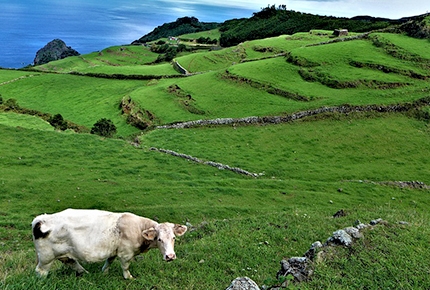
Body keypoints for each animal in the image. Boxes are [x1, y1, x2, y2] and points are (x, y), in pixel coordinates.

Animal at [31, 208, 186, 278]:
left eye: (173, 237)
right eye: (159, 239)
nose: (170, 256)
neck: (138, 227)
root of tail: (41, 219)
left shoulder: (114, 251)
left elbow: (109, 261)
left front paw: (104, 272)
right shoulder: (126, 254)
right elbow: (125, 267)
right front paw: (129, 278)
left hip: (64, 254)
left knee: (72, 262)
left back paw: (85, 273)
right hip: (46, 257)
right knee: (40, 271)